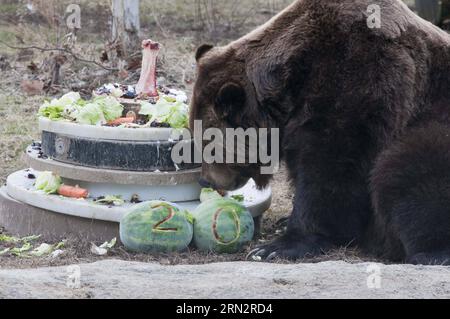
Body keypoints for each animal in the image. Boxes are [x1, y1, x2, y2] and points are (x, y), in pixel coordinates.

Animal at [189, 0, 450, 264]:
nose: (205, 179)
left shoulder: (358, 78)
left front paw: (276, 246)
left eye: (208, 146)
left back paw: (432, 252)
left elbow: (330, 165)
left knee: (412, 164)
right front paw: (284, 222)